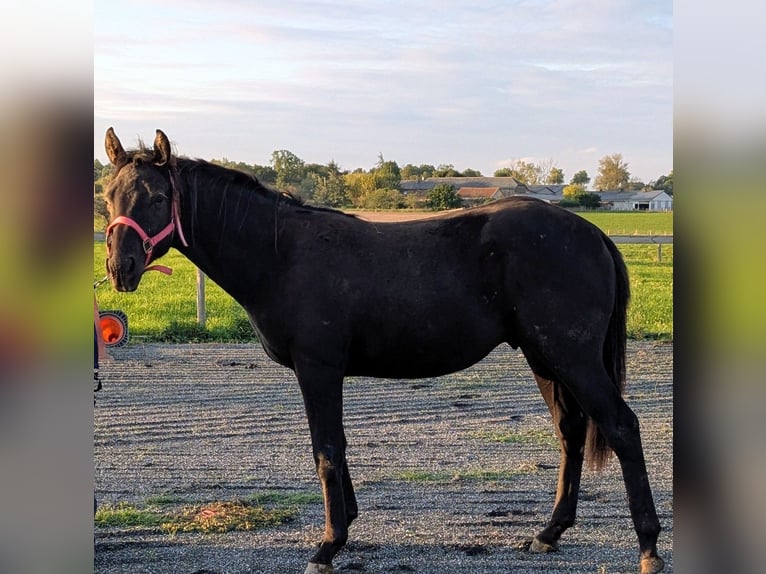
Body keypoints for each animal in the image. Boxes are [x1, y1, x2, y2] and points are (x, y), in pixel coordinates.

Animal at [102, 128, 664, 574]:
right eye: (109, 195)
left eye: (157, 196)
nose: (119, 268)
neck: (281, 254)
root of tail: (593, 233)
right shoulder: (327, 372)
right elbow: (339, 447)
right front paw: (345, 525)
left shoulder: (318, 368)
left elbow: (326, 450)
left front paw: (327, 547)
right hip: (543, 356)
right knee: (571, 431)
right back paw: (549, 533)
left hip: (572, 356)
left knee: (621, 427)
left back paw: (649, 547)